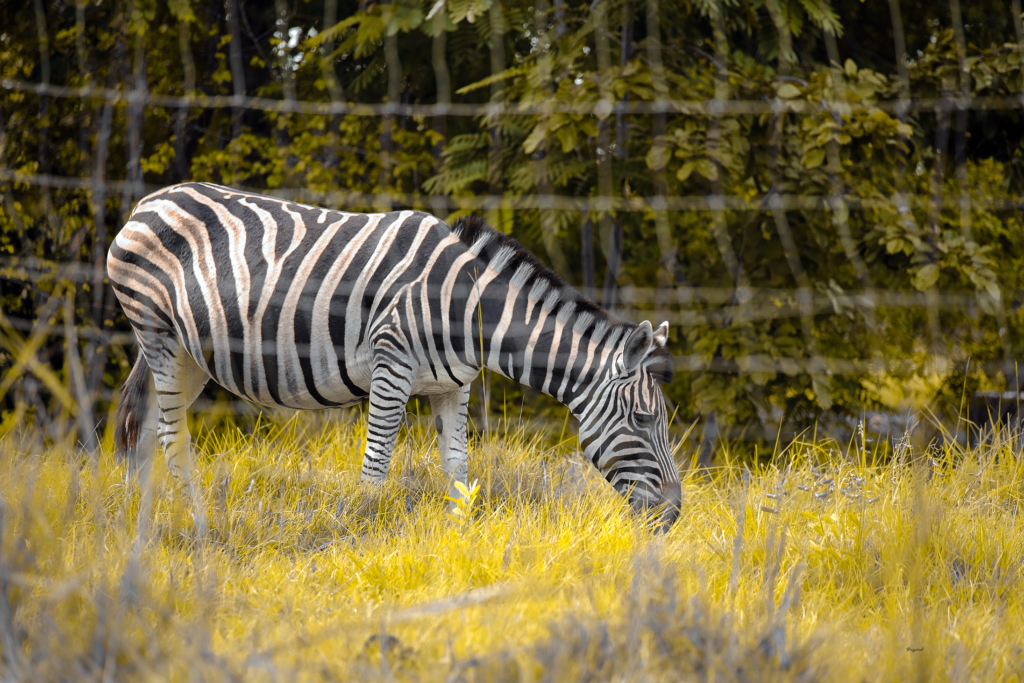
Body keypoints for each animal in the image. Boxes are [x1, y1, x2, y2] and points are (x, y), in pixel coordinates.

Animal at [108, 183, 684, 528]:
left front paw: (459, 537)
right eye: (643, 418)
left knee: (141, 421)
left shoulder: (455, 385)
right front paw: (361, 533)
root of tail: (148, 201)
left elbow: (458, 466)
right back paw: (195, 518)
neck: (469, 309)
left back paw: (142, 515)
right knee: (169, 432)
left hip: (185, 351)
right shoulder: (391, 366)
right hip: (158, 333)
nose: (675, 515)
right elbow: (377, 463)